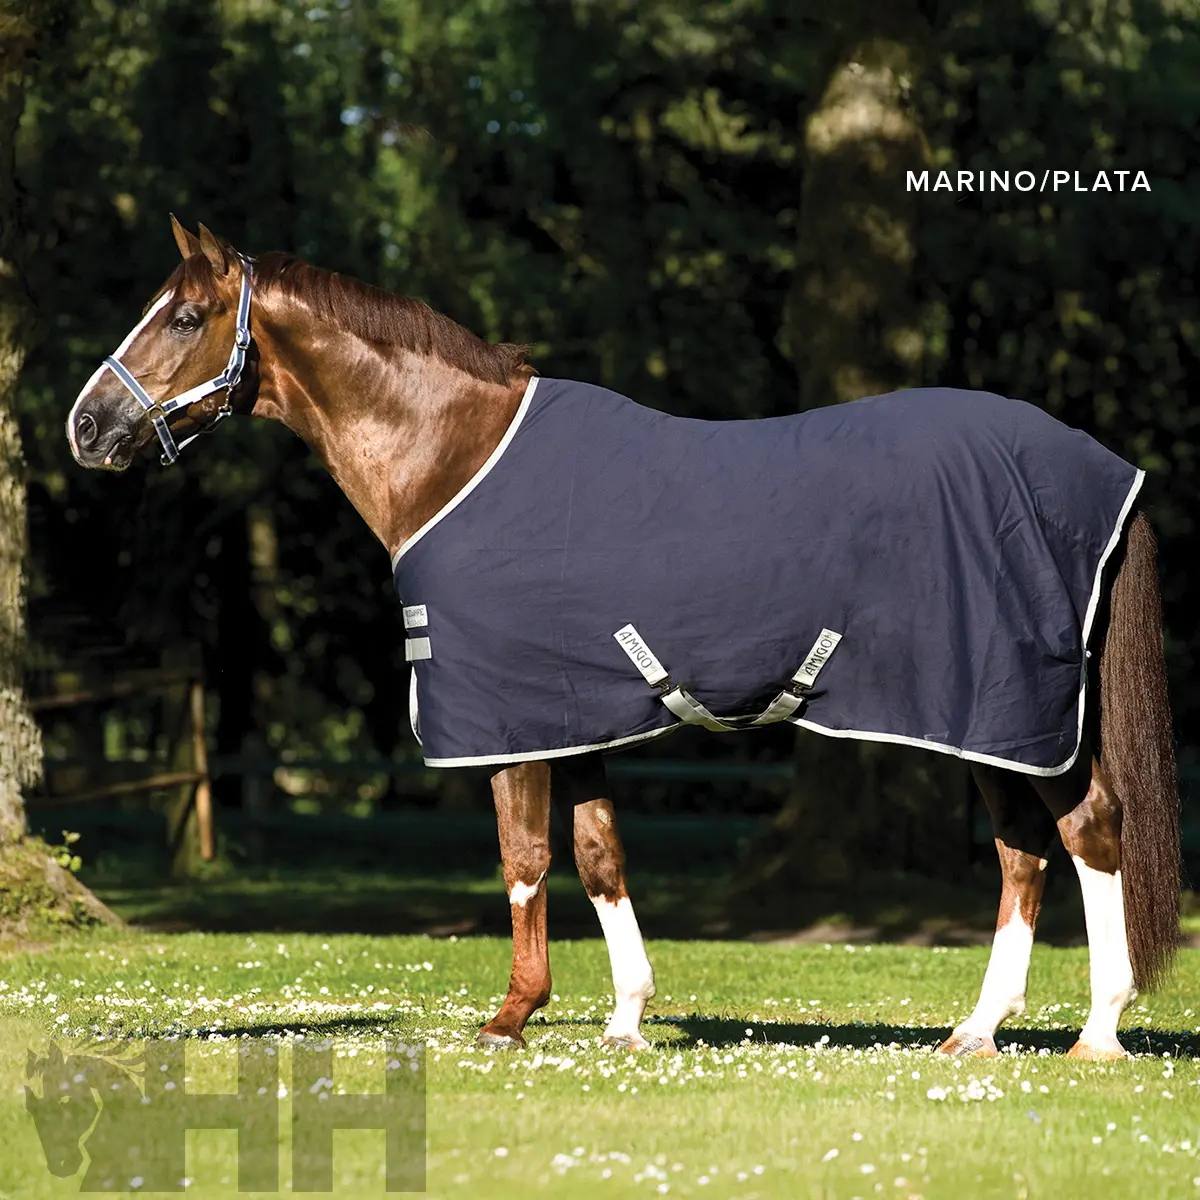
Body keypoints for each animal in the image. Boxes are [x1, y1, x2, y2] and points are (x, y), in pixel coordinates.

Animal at [67, 217, 1180, 1060]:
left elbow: (523, 858)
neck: (456, 456)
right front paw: (627, 1018)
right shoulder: (576, 716)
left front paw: (512, 1016)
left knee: (1086, 835)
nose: (85, 426)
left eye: (186, 315)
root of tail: (1100, 470)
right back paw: (978, 1031)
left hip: (1003, 711)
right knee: (1025, 855)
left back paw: (1097, 1032)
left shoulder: (508, 720)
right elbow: (599, 854)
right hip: (993, 722)